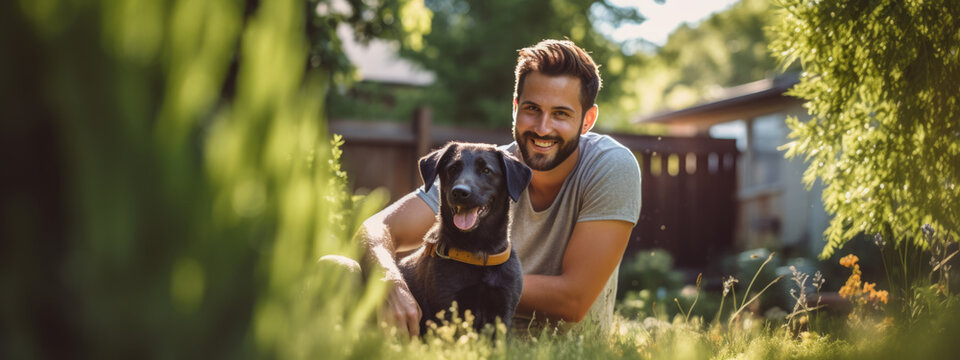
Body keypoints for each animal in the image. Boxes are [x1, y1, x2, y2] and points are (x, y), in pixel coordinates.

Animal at [398, 141, 532, 334]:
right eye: (453, 168)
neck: (479, 251)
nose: (460, 192)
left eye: (486, 170)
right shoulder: (447, 307)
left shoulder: (503, 309)